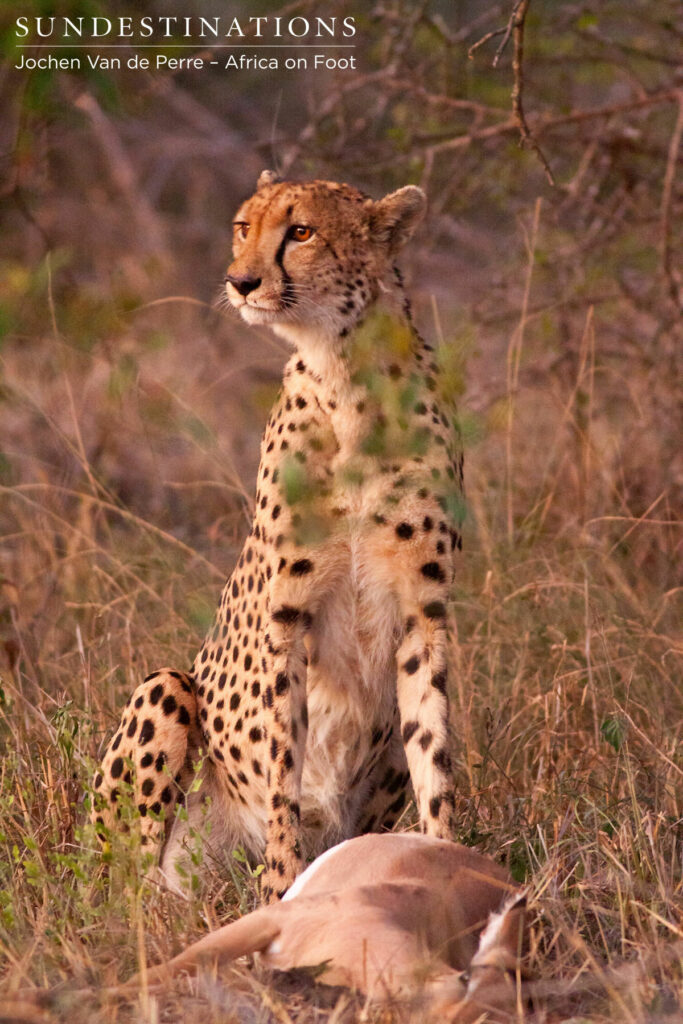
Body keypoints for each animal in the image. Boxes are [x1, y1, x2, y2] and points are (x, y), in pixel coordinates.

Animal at [92, 170, 465, 902]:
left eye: (301, 231)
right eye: (244, 227)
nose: (239, 281)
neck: (348, 382)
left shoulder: (423, 616)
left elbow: (433, 760)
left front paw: (447, 865)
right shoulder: (287, 618)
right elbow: (282, 774)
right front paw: (281, 891)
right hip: (165, 692)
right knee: (127, 890)